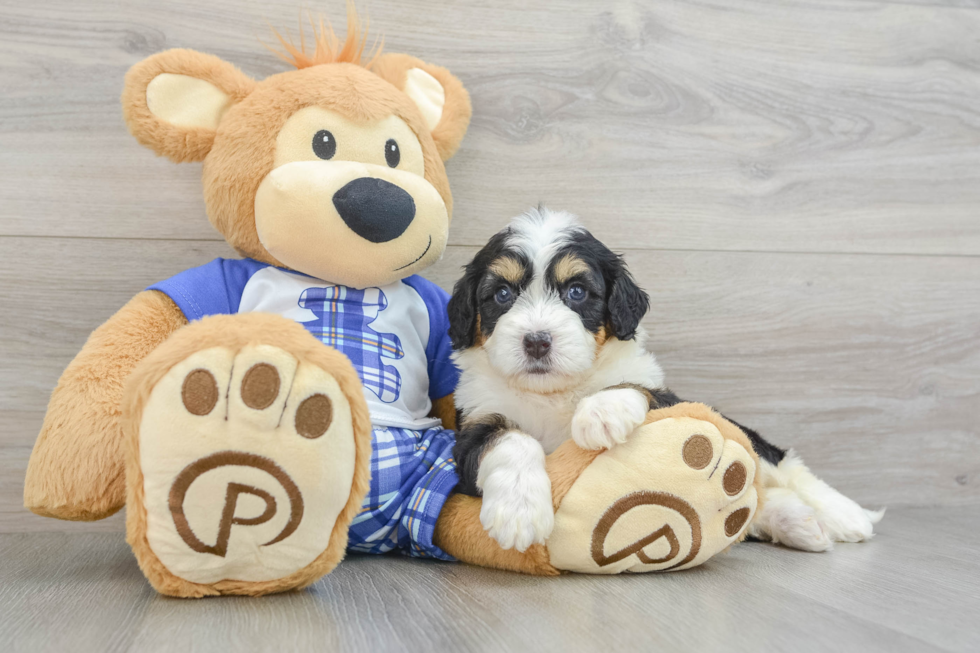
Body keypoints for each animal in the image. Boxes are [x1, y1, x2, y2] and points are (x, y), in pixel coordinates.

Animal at [448, 208, 884, 552]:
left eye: (576, 291)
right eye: (502, 295)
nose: (537, 341)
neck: (551, 393)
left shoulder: (666, 396)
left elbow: (634, 384)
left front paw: (601, 412)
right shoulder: (474, 423)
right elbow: (510, 439)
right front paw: (519, 511)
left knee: (783, 463)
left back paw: (844, 516)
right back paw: (797, 522)